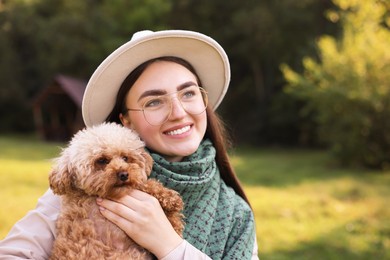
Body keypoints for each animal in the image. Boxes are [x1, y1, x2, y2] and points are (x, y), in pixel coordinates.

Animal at [48, 123, 184, 258]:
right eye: (101, 160)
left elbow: (141, 184)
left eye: (125, 158)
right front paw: (174, 218)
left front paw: (171, 204)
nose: (124, 174)